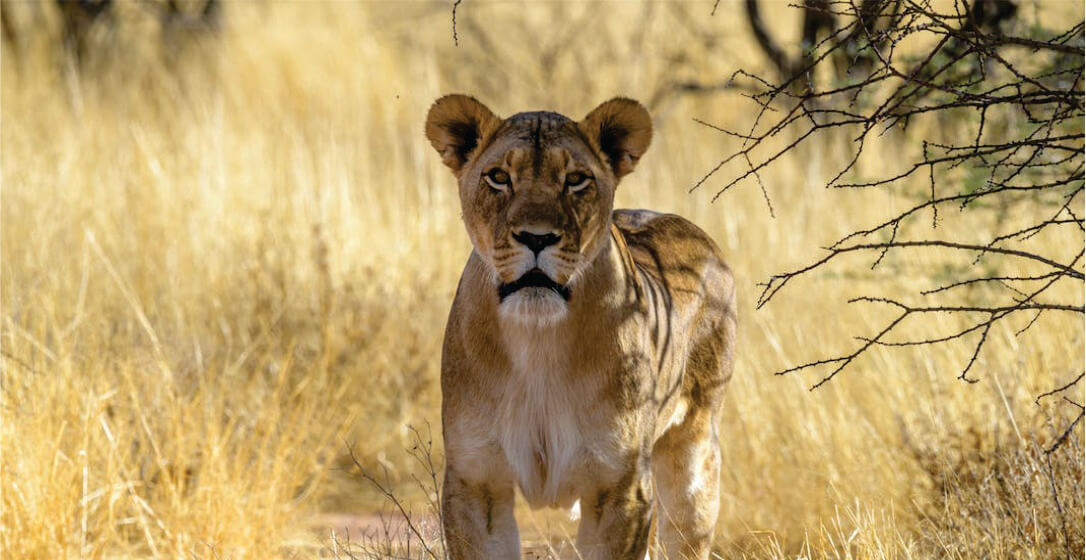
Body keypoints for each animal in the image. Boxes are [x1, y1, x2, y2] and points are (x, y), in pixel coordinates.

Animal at [425, 94, 737, 560]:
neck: (538, 339)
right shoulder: (476, 482)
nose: (537, 238)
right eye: (498, 177)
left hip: (694, 461)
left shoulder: (622, 487)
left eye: (575, 180)